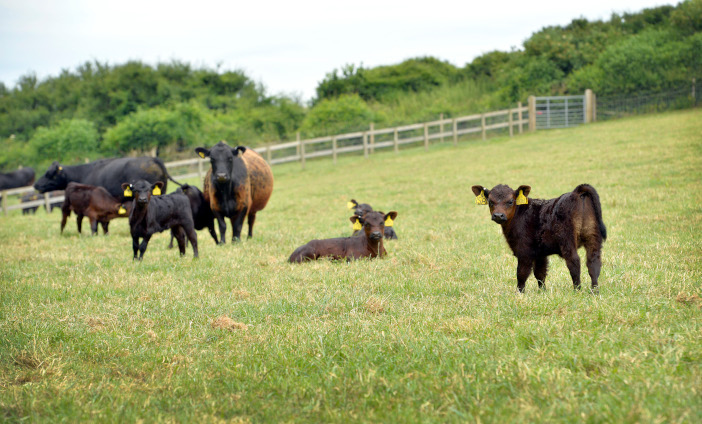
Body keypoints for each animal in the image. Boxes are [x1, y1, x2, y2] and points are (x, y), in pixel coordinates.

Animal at [472, 184, 612, 294]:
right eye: (490, 201)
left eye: (510, 201)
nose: (498, 215)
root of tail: (576, 193)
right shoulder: (540, 253)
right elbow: (540, 273)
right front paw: (543, 291)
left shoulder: (524, 251)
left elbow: (521, 273)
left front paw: (520, 293)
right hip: (593, 237)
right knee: (593, 263)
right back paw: (594, 290)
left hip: (567, 240)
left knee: (574, 262)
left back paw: (577, 290)